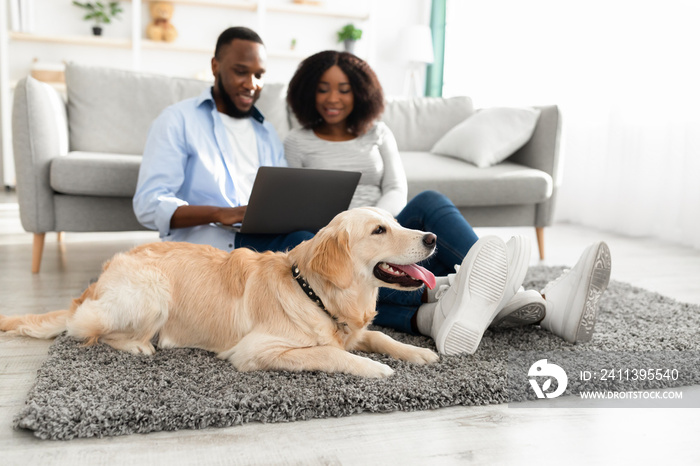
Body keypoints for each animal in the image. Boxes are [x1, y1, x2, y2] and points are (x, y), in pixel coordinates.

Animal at [1, 209, 438, 376]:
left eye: (396, 221)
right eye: (379, 230)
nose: (432, 238)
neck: (312, 292)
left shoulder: (352, 328)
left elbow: (378, 335)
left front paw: (417, 352)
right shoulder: (255, 350)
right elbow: (328, 353)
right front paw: (374, 368)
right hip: (152, 290)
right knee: (85, 330)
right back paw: (139, 345)